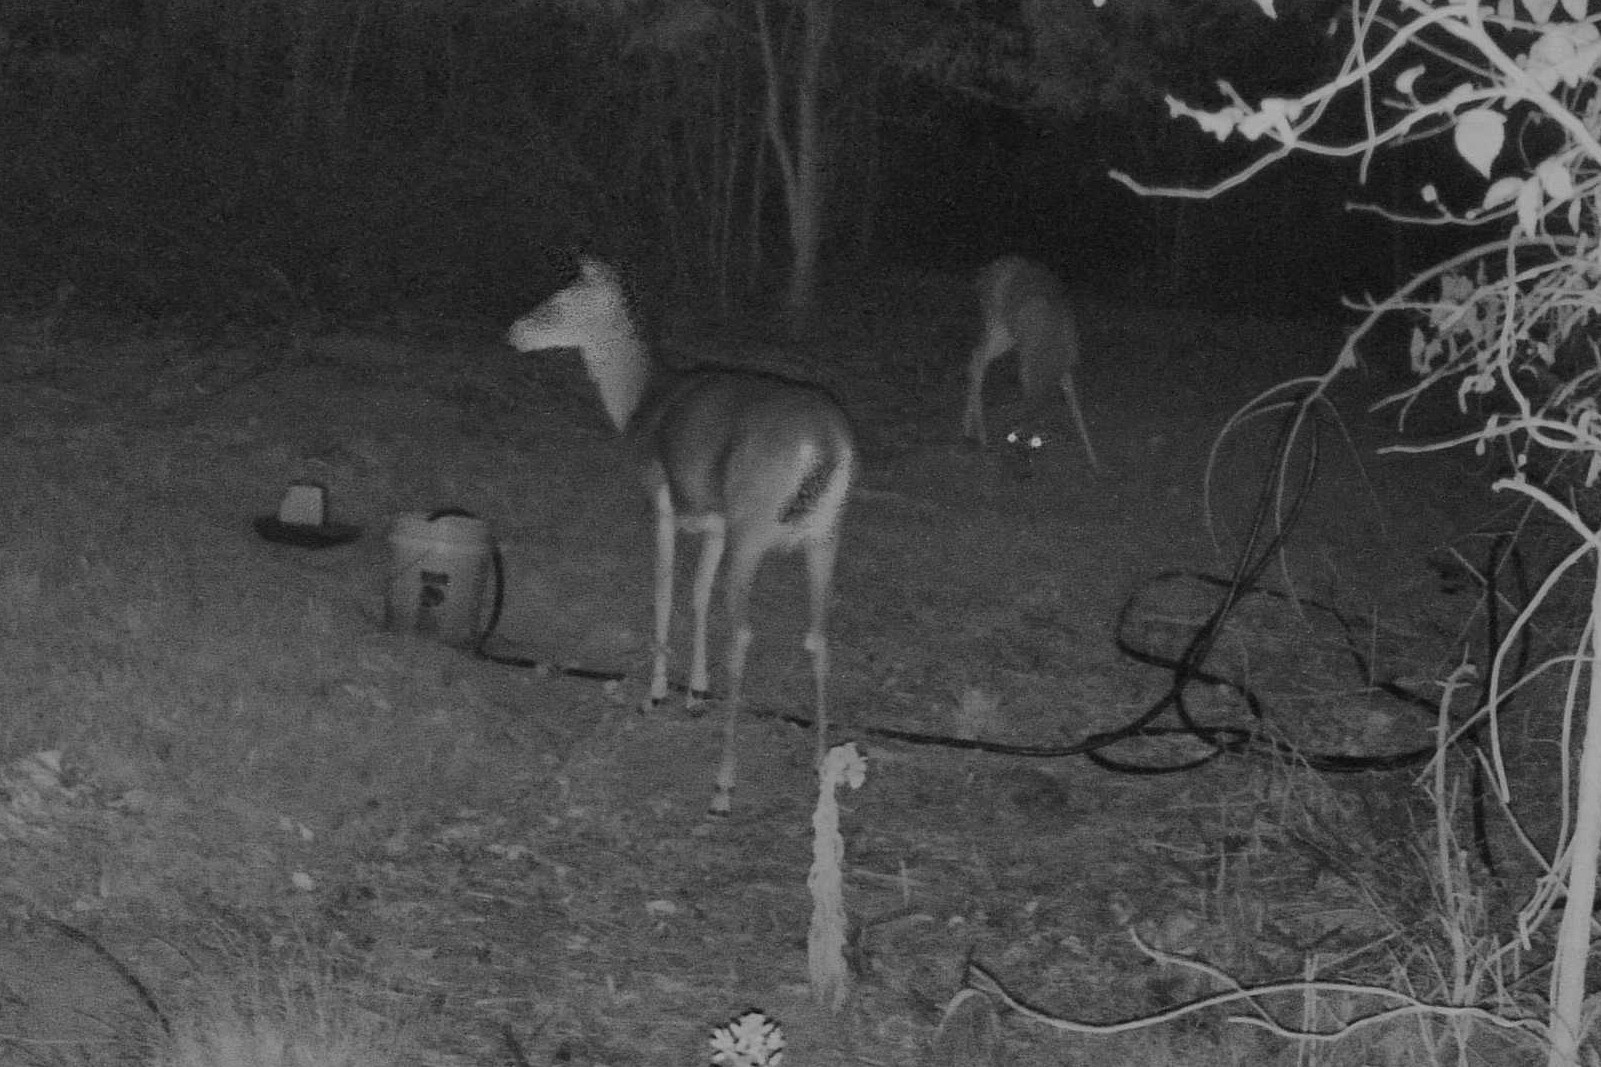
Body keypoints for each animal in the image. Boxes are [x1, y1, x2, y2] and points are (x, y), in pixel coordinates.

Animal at [506, 258, 856, 815]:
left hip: (753, 524)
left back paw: (723, 787)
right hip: (825, 532)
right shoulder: (713, 521)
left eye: (560, 300)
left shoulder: (660, 496)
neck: (640, 399)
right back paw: (820, 766)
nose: (514, 331)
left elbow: (665, 589)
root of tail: (825, 443)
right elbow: (698, 595)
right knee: (819, 636)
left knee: (743, 634)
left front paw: (656, 693)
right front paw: (695, 693)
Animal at [962, 256, 1102, 475]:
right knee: (978, 358)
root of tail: (983, 275)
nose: (1022, 473)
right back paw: (980, 435)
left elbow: (1074, 403)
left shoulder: (1066, 363)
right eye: (1011, 441)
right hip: (999, 324)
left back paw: (969, 430)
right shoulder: (1028, 362)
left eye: (1036, 445)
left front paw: (1094, 461)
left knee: (977, 357)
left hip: (1003, 330)